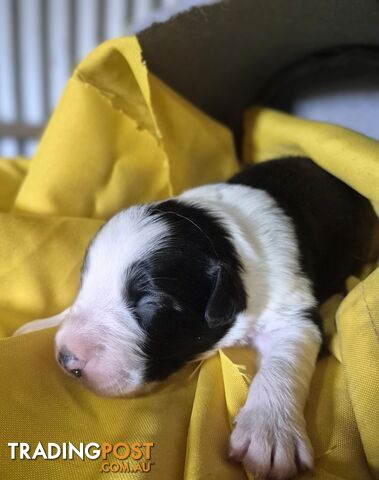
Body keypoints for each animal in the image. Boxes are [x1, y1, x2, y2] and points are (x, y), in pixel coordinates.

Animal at [14, 158, 378, 480]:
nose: (66, 358)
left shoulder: (294, 311)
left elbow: (282, 364)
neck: (224, 241)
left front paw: (269, 431)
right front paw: (34, 326)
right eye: (83, 282)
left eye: (151, 303)